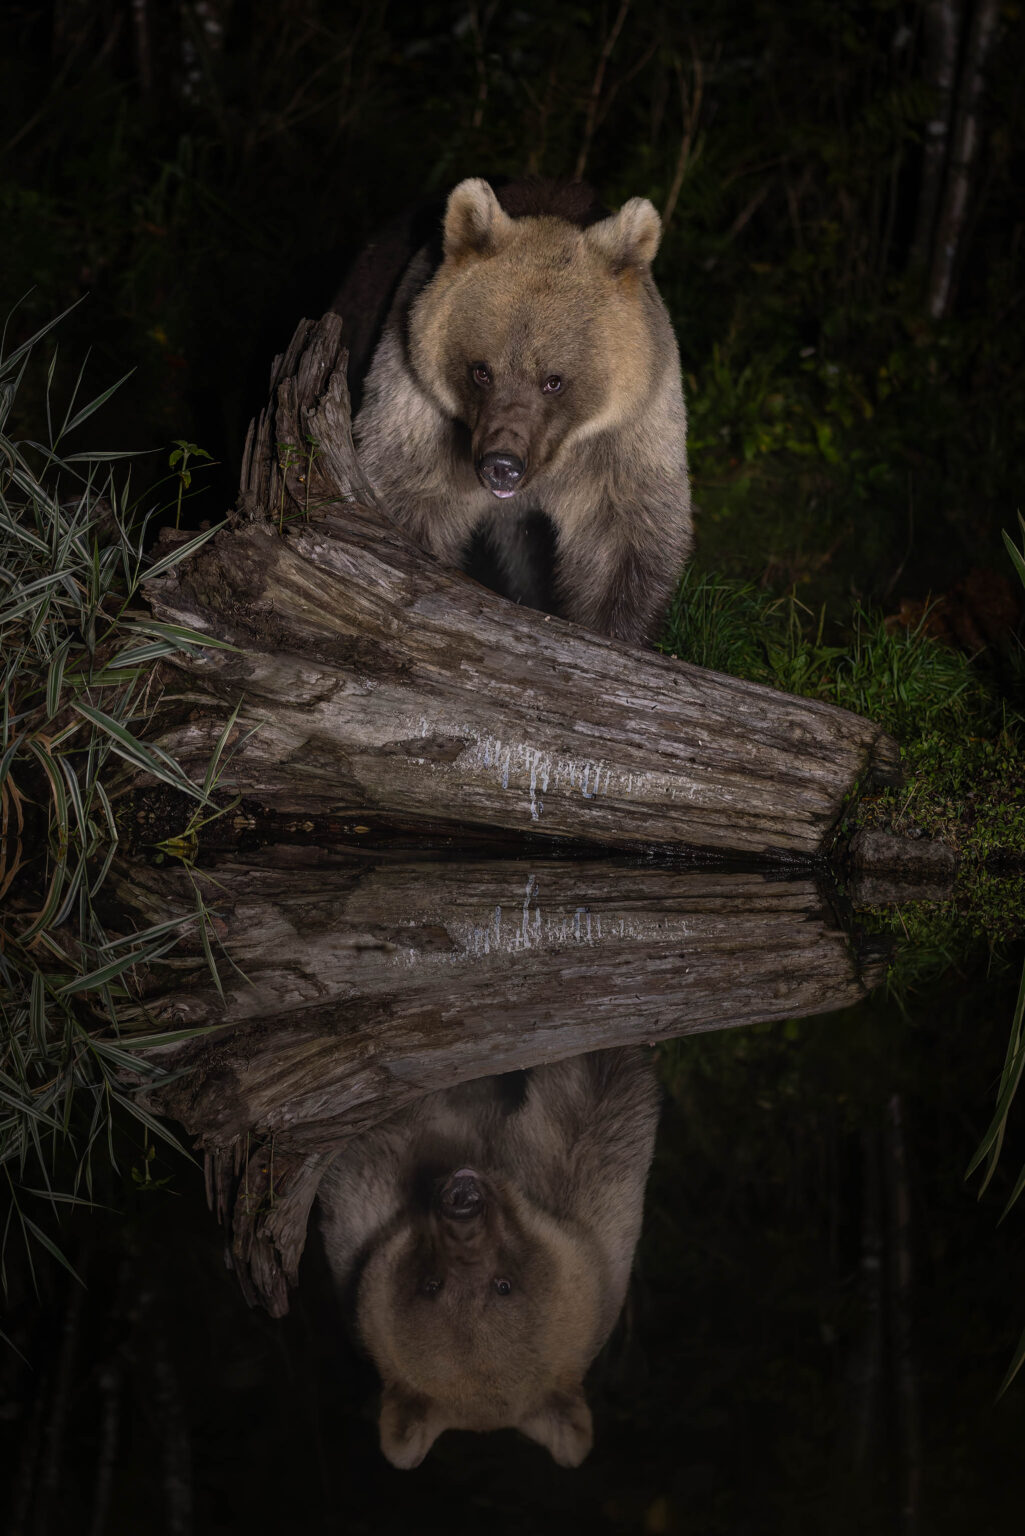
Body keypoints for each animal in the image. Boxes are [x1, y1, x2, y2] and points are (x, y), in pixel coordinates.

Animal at [336, 178, 692, 645]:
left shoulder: (627, 431)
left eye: (553, 380)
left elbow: (622, 533)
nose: (501, 465)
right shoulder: (416, 397)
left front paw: (617, 629)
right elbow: (409, 492)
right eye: (481, 370)